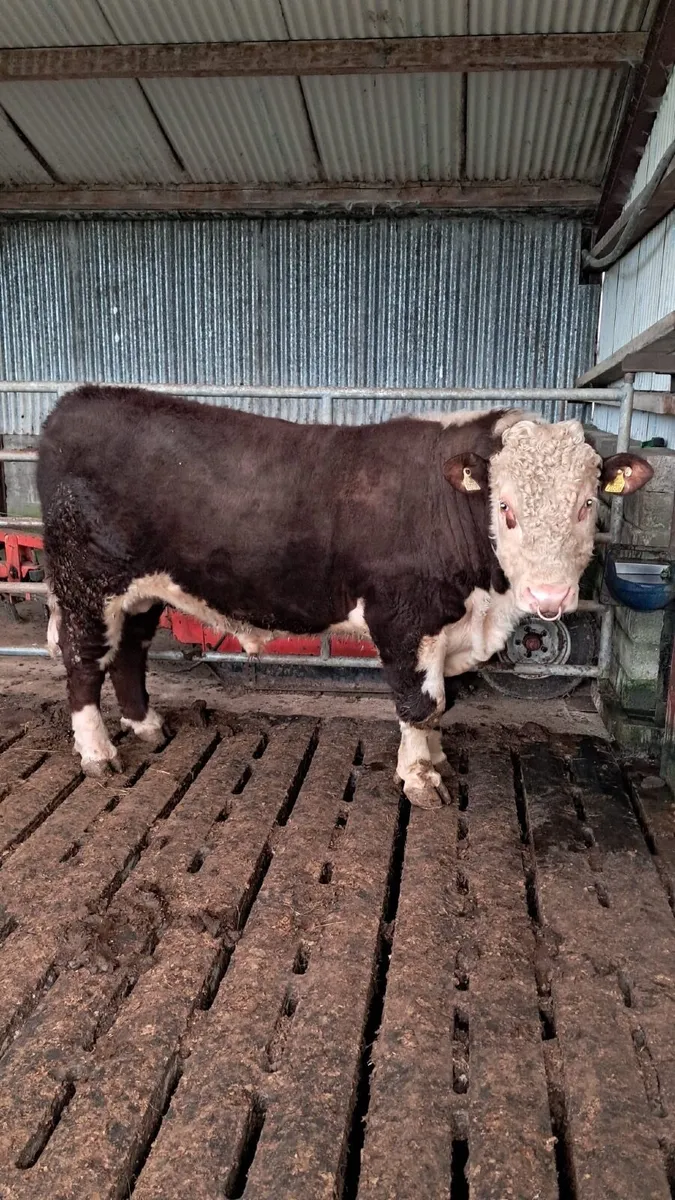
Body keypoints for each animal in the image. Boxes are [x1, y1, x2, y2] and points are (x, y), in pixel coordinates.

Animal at [37, 386, 652, 808]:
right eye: (506, 508)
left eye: (587, 505)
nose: (550, 593)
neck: (485, 606)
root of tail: (74, 402)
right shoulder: (404, 620)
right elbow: (420, 702)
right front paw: (421, 780)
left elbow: (440, 706)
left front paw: (435, 759)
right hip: (85, 584)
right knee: (84, 662)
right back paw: (98, 754)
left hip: (141, 591)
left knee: (131, 651)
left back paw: (146, 725)